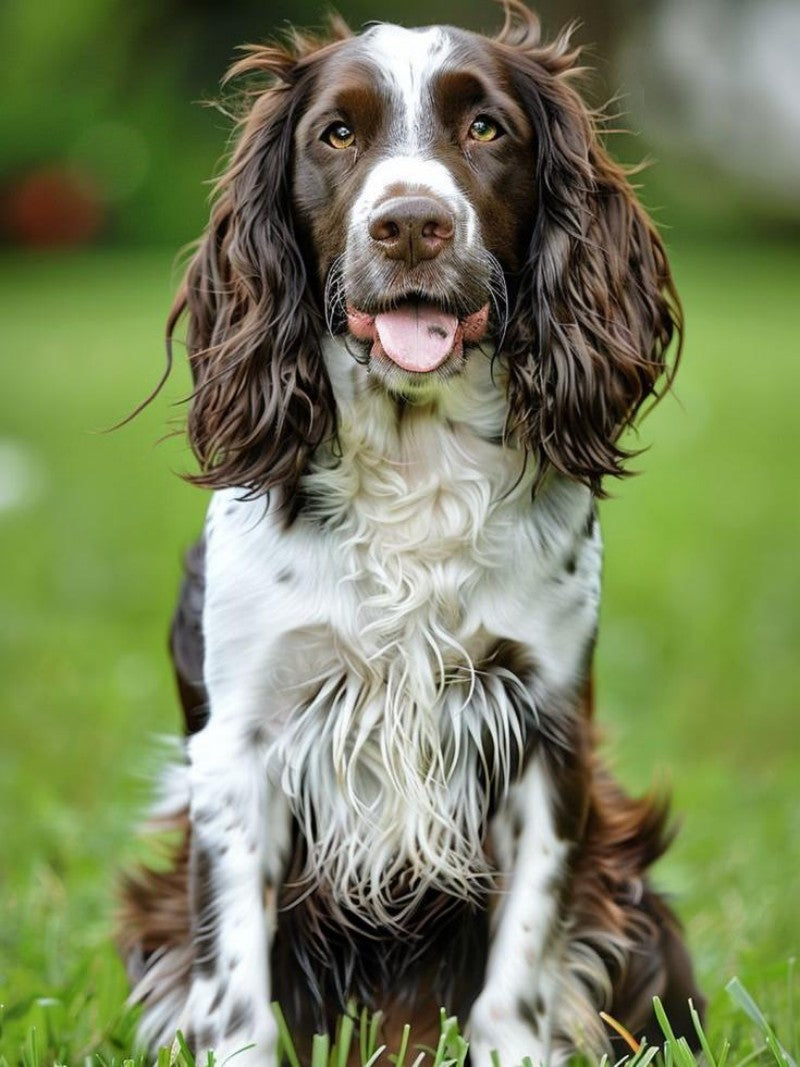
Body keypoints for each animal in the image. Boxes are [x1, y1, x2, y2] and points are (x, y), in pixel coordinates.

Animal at [115, 4, 704, 1062]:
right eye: (336, 134)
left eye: (487, 128)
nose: (412, 224)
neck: (414, 462)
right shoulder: (243, 746)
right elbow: (235, 982)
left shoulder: (544, 731)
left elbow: (523, 960)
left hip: (634, 895)